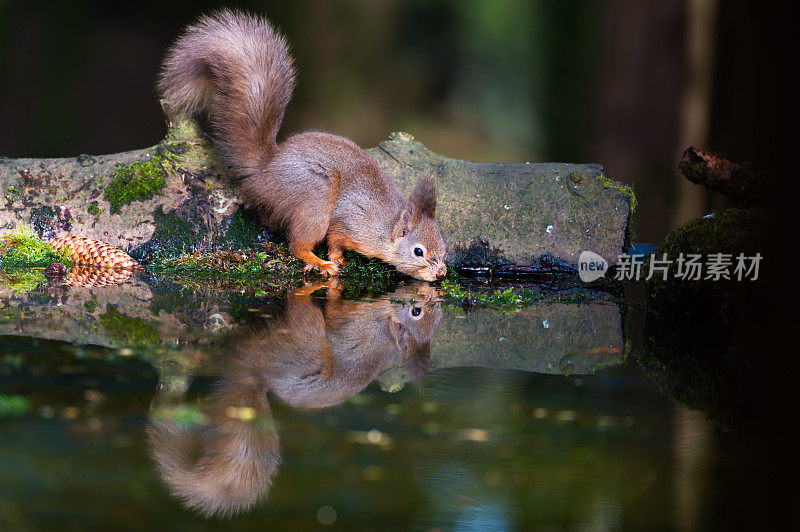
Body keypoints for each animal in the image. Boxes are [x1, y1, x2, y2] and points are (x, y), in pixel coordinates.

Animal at [159, 9, 446, 282]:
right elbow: (335, 239)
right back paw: (319, 262)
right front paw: (335, 258)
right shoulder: (349, 222)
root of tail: (265, 171)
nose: (441, 273)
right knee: (297, 245)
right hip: (316, 195)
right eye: (418, 251)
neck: (386, 227)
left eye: (444, 246)